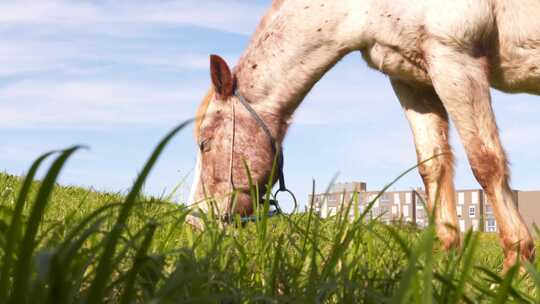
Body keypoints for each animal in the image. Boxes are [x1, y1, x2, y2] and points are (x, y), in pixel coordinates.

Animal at [188, 0, 536, 268]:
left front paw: (515, 268)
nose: (195, 222)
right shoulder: (413, 81)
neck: (363, 9)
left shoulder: (456, 61)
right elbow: (434, 168)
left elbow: (486, 163)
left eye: (205, 143)